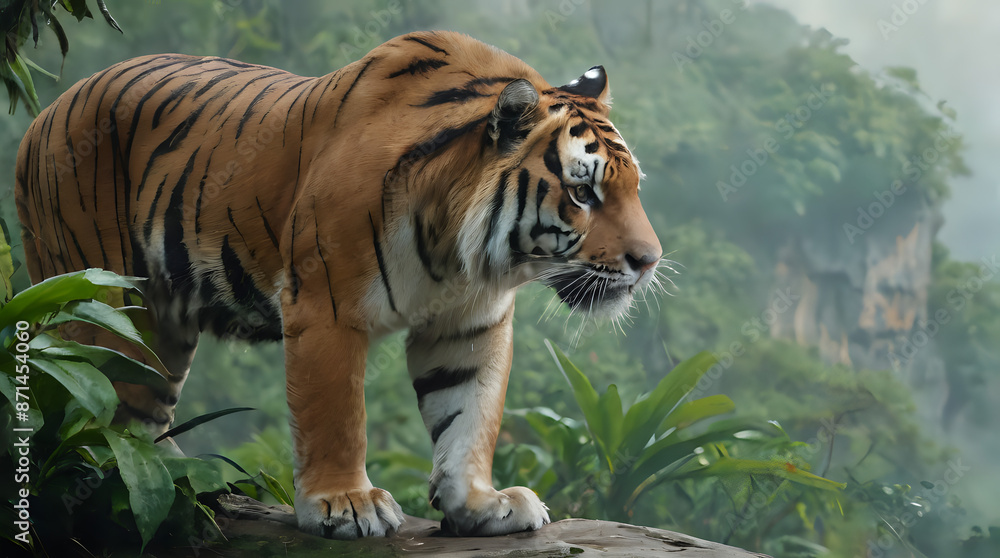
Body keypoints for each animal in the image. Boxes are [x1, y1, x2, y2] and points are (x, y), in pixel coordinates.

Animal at [14, 30, 662, 539]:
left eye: (634, 187)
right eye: (583, 191)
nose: (649, 261)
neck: (460, 250)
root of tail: (43, 114)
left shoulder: (471, 323)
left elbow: (470, 415)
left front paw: (480, 504)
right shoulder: (325, 306)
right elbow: (336, 415)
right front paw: (345, 504)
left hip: (159, 324)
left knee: (139, 411)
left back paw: (181, 479)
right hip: (102, 300)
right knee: (93, 405)